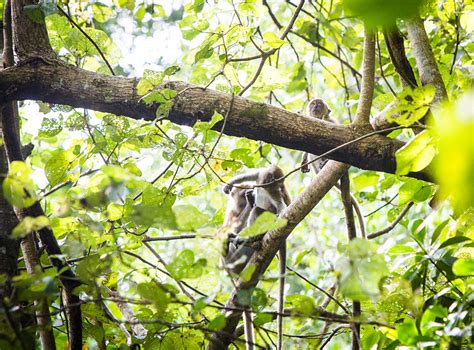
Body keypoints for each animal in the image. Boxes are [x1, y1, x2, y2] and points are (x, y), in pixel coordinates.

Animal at [224, 165, 290, 350]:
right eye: (274, 180)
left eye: (279, 182)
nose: (277, 185)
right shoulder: (262, 177)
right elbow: (250, 175)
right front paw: (230, 185)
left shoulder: (274, 193)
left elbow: (280, 206)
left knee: (259, 211)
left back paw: (252, 238)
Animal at [300, 98, 366, 238]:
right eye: (313, 103)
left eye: (319, 103)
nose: (315, 105)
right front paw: (304, 160)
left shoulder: (331, 122)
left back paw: (325, 162)